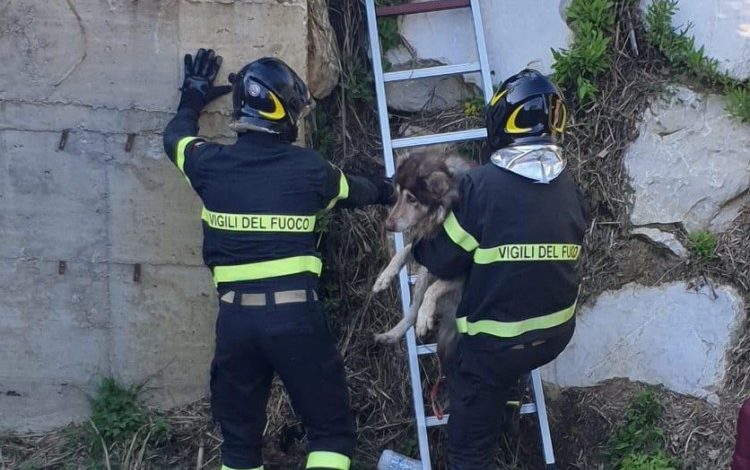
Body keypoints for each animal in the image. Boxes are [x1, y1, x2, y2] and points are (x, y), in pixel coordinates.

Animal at [374, 151, 476, 360]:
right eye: (398, 193)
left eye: (412, 199)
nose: (388, 226)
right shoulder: (426, 249)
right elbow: (403, 251)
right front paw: (384, 277)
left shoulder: (461, 273)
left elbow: (434, 289)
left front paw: (425, 316)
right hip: (423, 274)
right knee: (412, 309)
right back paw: (391, 335)